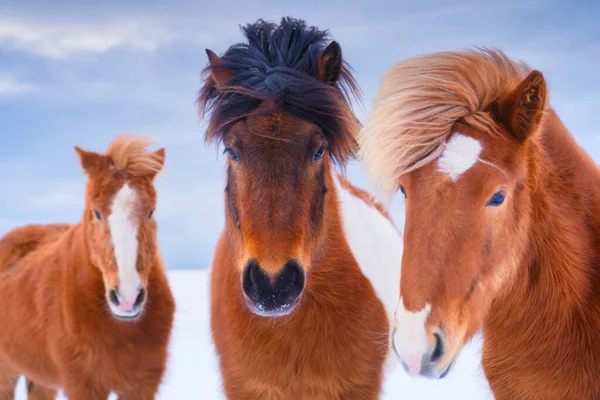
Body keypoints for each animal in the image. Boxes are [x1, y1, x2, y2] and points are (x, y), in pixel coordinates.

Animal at [0, 135, 176, 400]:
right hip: (7, 372)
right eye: (97, 213)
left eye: (151, 211)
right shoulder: (84, 386)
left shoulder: (141, 386)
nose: (127, 299)